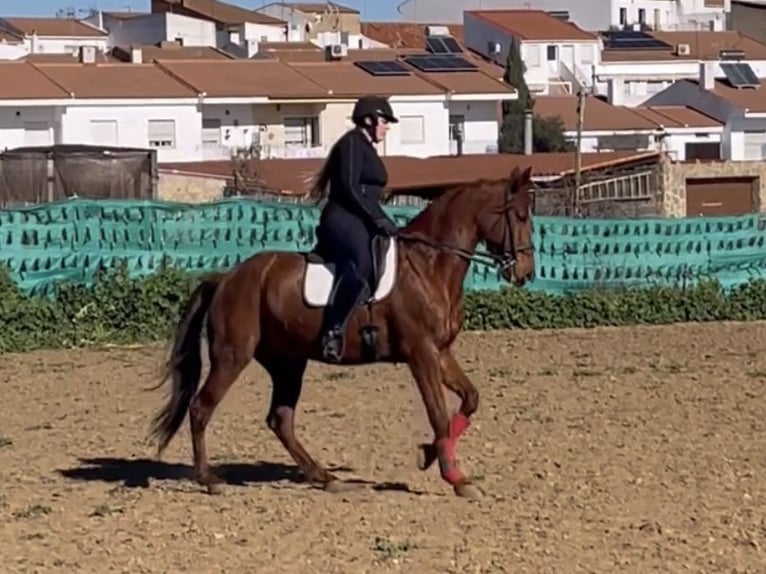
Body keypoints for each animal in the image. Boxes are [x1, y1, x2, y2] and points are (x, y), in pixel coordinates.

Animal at [147, 164, 536, 498]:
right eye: (519, 216)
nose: (526, 273)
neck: (429, 266)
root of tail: (226, 278)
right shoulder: (421, 353)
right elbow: (438, 413)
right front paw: (455, 477)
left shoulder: (440, 352)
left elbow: (470, 399)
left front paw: (429, 455)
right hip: (232, 357)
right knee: (201, 408)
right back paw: (209, 479)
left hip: (288, 363)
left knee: (280, 419)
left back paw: (324, 477)